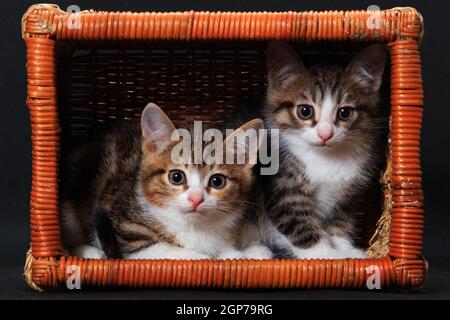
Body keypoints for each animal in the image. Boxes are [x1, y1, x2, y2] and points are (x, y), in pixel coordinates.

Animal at [59, 104, 270, 258]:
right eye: (176, 177)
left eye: (217, 181)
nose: (196, 199)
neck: (194, 227)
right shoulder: (124, 232)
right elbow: (174, 251)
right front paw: (216, 257)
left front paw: (250, 251)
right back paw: (90, 253)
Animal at [264, 41, 386, 258]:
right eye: (305, 111)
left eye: (345, 112)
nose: (325, 134)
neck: (327, 157)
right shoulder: (285, 190)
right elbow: (298, 223)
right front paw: (327, 255)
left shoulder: (347, 196)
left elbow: (341, 221)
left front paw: (347, 251)